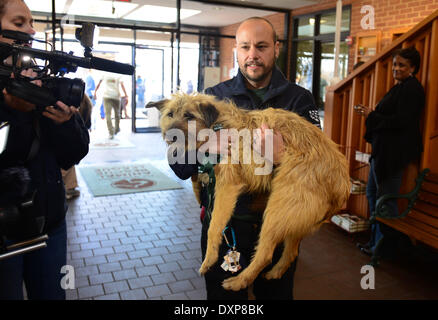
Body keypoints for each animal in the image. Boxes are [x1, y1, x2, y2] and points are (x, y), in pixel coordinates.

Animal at [147, 93, 350, 292]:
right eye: (170, 114)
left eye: (189, 115)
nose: (170, 136)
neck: (217, 125)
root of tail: (342, 185)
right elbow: (194, 177)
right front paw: (198, 190)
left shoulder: (228, 186)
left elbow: (214, 226)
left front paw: (209, 259)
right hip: (293, 217)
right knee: (291, 252)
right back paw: (275, 272)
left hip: (277, 211)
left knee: (265, 255)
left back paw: (240, 280)